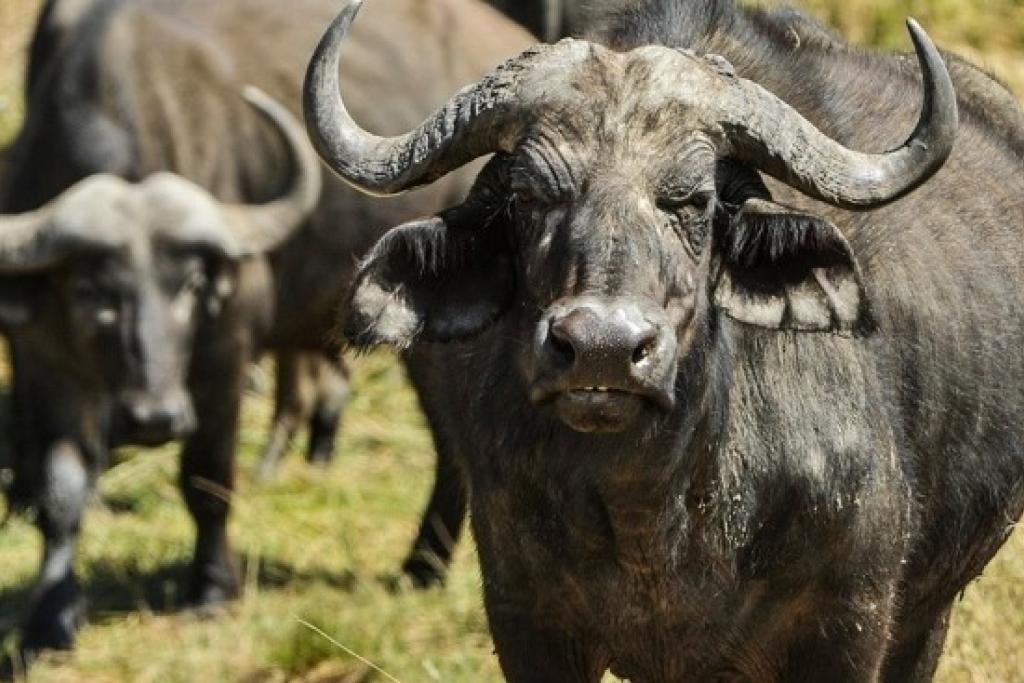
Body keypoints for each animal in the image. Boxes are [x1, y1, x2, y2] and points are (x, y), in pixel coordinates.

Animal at [0, 0, 532, 652]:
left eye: (191, 284)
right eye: (91, 291)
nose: (155, 418)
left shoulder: (227, 349)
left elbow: (206, 476)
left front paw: (210, 589)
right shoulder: (43, 356)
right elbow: (61, 488)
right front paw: (50, 617)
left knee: (458, 446)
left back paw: (424, 564)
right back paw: (421, 568)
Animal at [306, 0, 1024, 680]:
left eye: (693, 199)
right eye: (528, 195)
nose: (602, 349)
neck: (653, 510)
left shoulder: (852, 623)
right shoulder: (524, 619)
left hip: (928, 613)